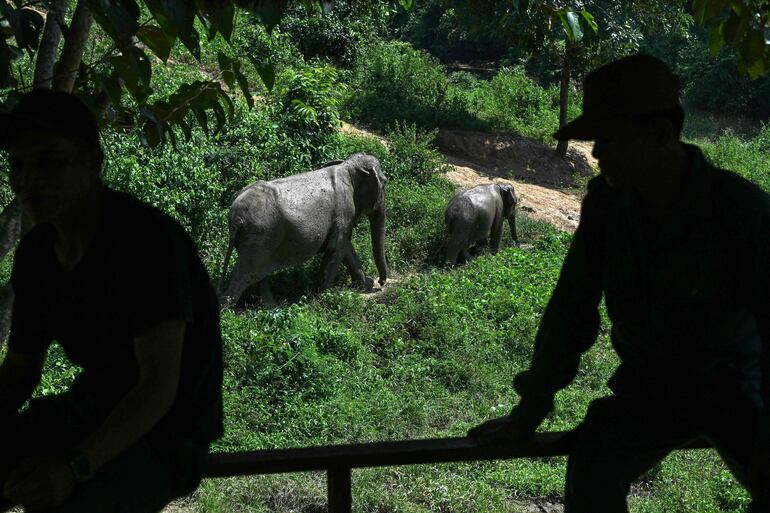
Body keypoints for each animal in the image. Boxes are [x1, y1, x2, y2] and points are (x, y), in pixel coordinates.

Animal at [218, 151, 388, 304]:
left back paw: (271, 306)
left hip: (253, 238)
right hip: (258, 236)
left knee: (256, 273)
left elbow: (345, 247)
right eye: (385, 183)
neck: (347, 166)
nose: (380, 282)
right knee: (245, 274)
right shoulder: (344, 209)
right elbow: (336, 248)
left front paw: (365, 286)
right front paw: (321, 297)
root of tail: (236, 217)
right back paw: (228, 309)